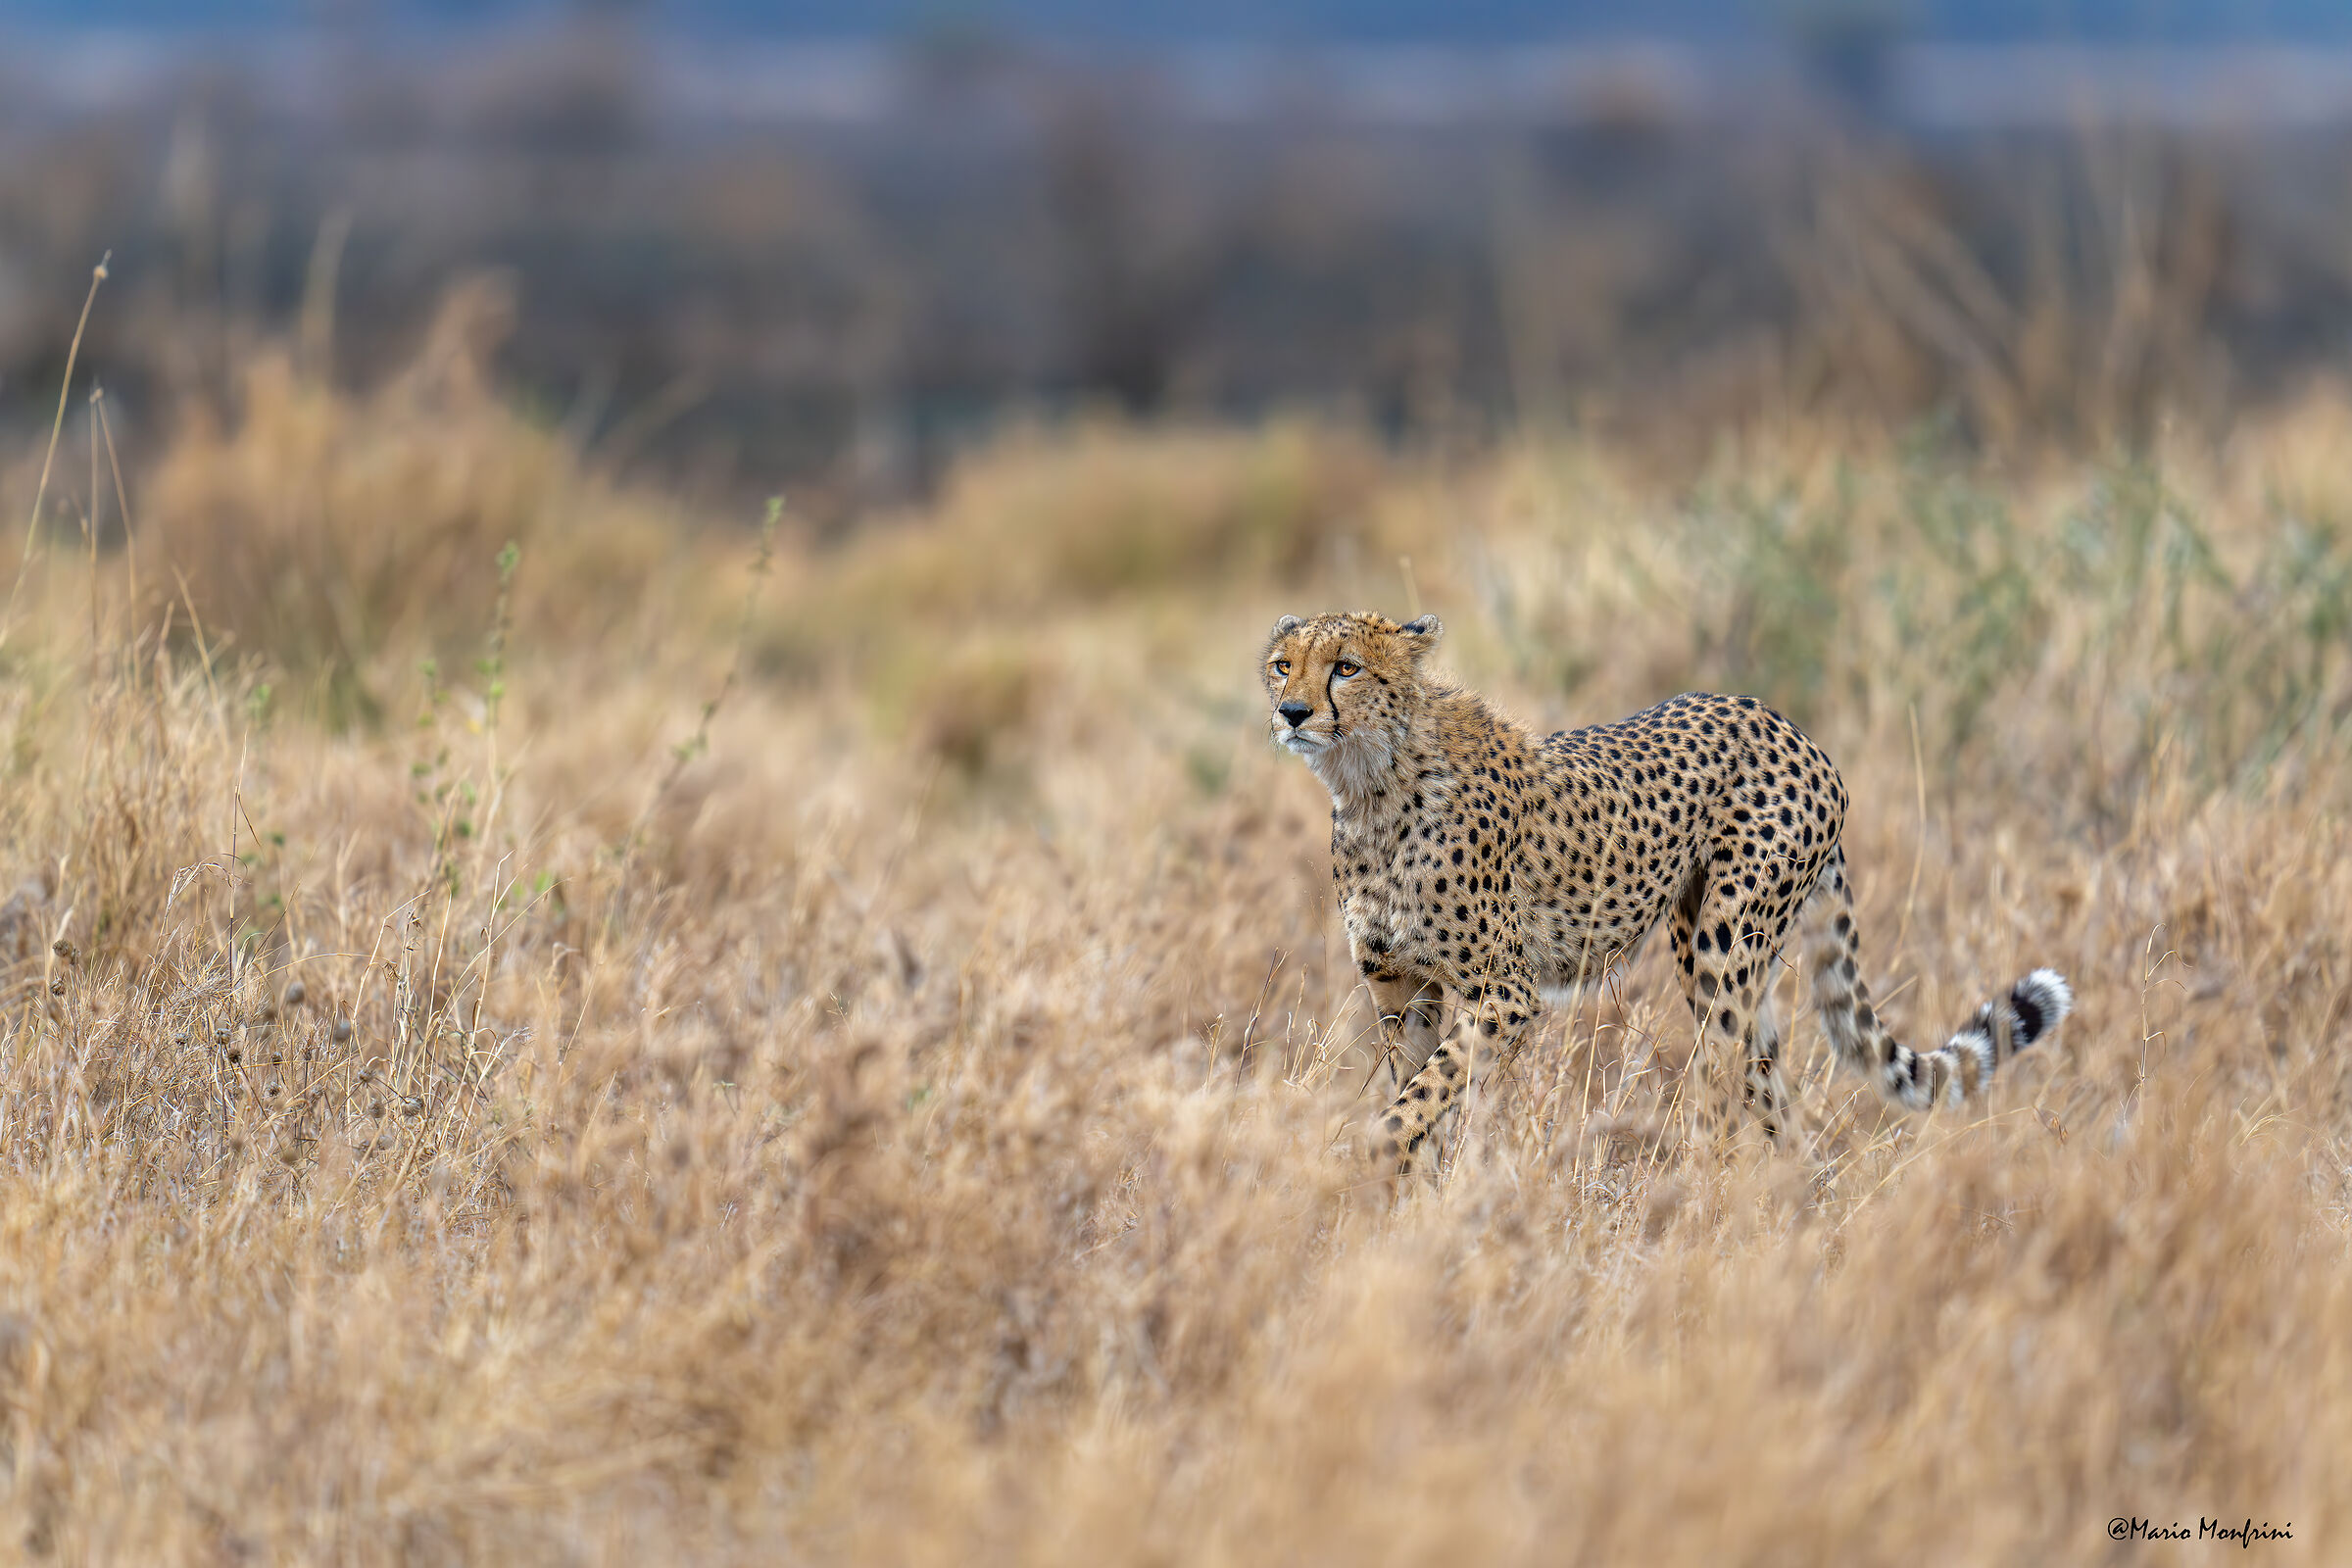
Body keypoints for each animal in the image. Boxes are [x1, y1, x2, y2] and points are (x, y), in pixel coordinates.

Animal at [1262, 609, 2074, 1174]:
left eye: (1346, 668)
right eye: (1282, 666)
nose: (1292, 713)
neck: (1370, 785)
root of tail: (1787, 724)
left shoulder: (1506, 993)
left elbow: (1420, 1098)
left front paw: (1374, 1164)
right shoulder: (1401, 990)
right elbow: (1422, 1095)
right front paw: (1414, 1205)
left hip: (1722, 948)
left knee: (1720, 1086)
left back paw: (1702, 1199)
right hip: (1721, 954)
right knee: (1775, 1096)